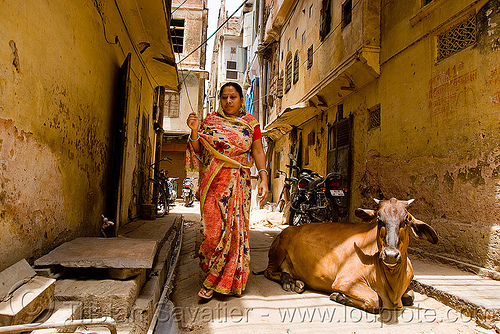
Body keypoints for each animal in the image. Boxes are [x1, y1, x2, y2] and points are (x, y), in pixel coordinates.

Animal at [264, 198, 436, 314]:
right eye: (379, 218)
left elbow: (409, 297)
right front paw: (338, 296)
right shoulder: (345, 281)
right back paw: (290, 283)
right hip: (279, 250)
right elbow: (375, 300)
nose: (390, 255)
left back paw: (296, 282)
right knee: (269, 272)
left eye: (406, 219)